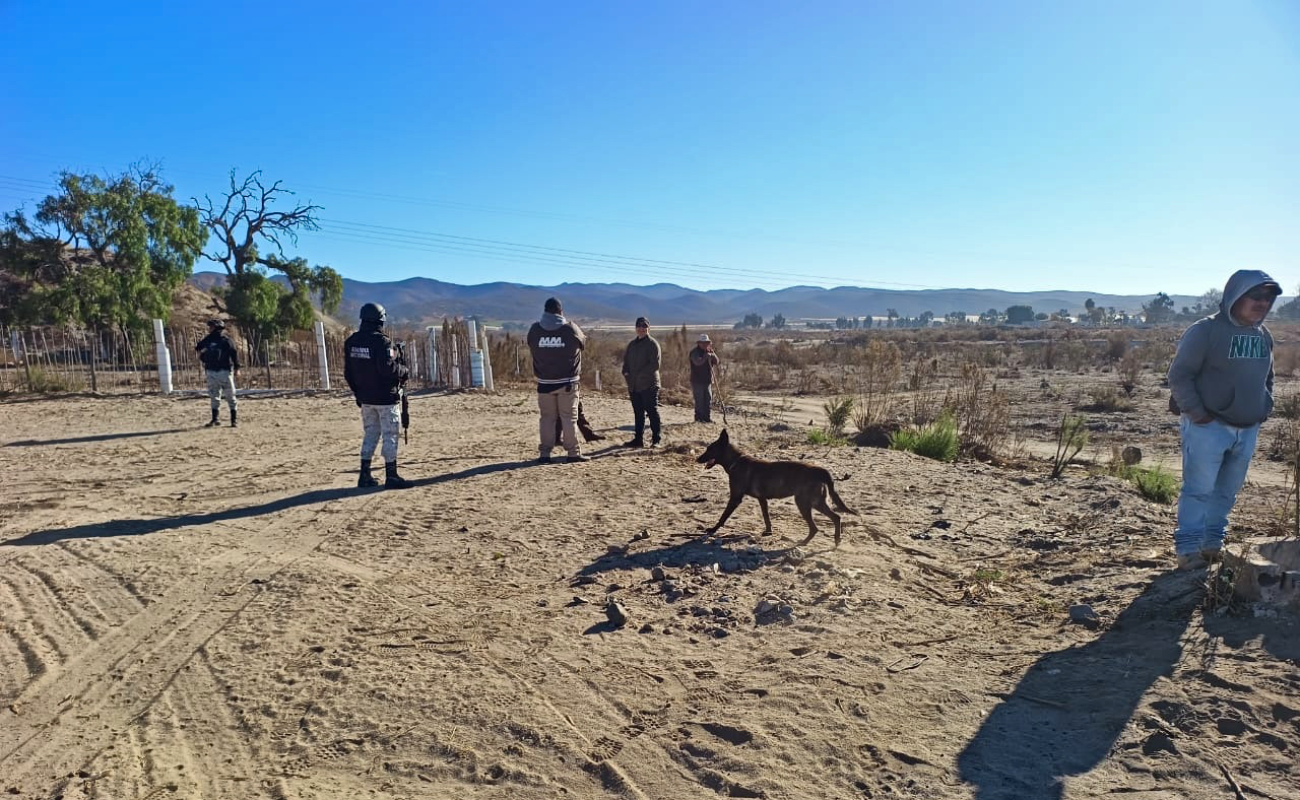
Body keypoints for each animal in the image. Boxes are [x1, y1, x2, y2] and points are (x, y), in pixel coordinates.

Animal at [696, 429, 857, 548]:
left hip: (804, 503)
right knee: (836, 517)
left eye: (709, 449)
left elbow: (723, 516)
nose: (697, 459)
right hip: (816, 502)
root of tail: (820, 471)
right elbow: (766, 517)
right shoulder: (762, 500)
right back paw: (836, 540)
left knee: (815, 527)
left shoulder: (735, 498)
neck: (736, 462)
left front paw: (713, 529)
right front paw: (768, 531)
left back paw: (804, 542)